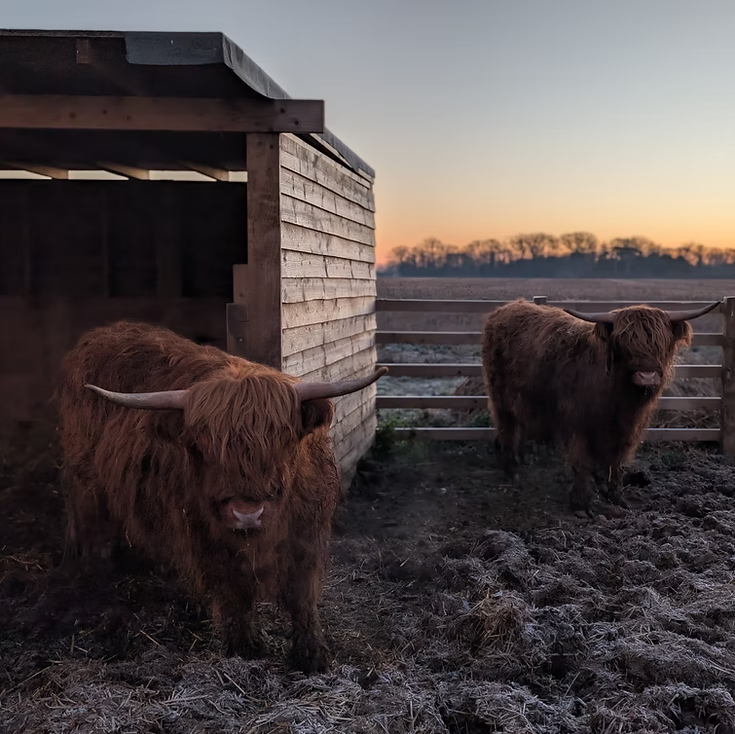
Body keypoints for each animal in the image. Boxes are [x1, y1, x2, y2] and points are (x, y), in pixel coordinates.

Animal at [57, 320, 388, 674]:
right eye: (200, 447)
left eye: (283, 441)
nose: (247, 513)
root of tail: (107, 330)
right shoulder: (207, 539)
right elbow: (233, 593)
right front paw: (243, 649)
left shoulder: (306, 535)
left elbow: (302, 596)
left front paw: (313, 655)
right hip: (85, 482)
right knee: (89, 524)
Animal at [481, 298, 719, 515]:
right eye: (624, 343)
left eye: (661, 343)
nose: (647, 376)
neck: (618, 398)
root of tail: (506, 308)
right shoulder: (576, 422)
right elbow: (582, 462)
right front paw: (581, 504)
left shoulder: (627, 428)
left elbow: (616, 461)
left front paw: (615, 496)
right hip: (501, 398)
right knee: (507, 429)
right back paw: (511, 470)